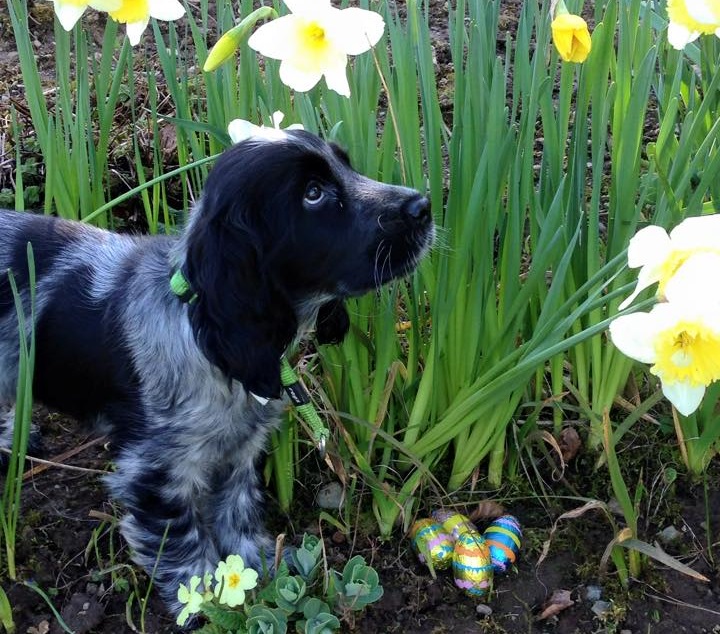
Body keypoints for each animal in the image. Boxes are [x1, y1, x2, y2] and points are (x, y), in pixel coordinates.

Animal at [0, 130, 434, 612]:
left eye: (347, 165)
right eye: (313, 194)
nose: (423, 205)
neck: (204, 333)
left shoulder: (240, 450)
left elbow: (236, 509)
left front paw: (257, 565)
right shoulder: (153, 469)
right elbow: (180, 538)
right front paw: (203, 596)